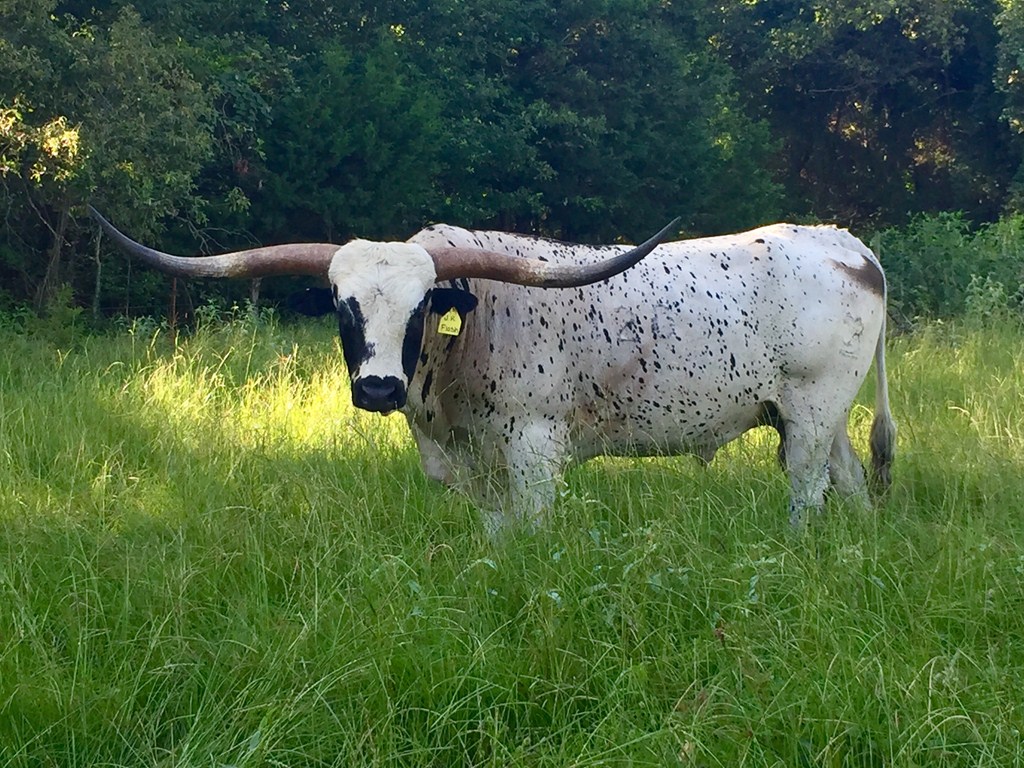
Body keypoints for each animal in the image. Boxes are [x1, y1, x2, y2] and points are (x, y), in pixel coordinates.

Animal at [90, 207, 896, 534]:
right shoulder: (475, 461)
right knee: (850, 479)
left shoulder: (534, 450)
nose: (377, 386)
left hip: (811, 410)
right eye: (344, 308)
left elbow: (529, 532)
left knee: (806, 489)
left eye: (421, 307)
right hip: (815, 416)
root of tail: (846, 246)